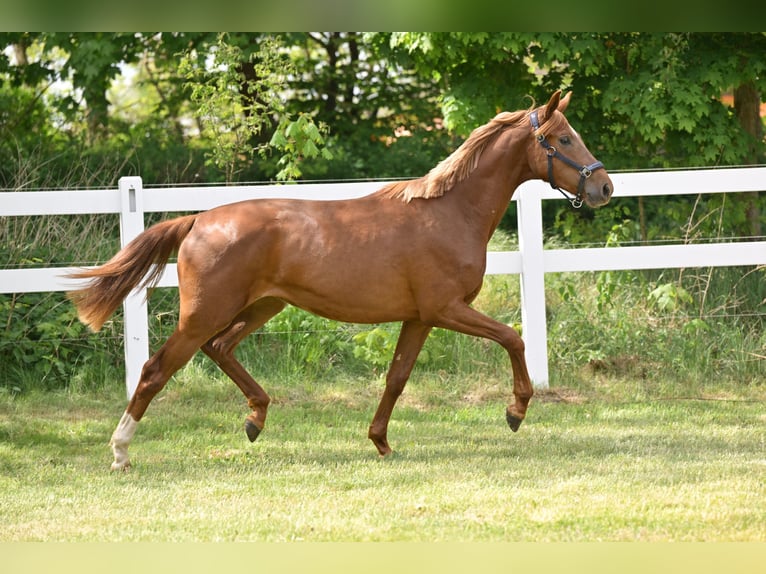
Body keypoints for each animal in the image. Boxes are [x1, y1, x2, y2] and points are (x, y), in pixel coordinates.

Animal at [68, 90, 613, 470]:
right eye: (564, 138)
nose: (605, 187)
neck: (449, 213)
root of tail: (199, 221)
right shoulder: (447, 309)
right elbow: (514, 338)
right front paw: (516, 411)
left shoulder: (420, 318)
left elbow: (396, 378)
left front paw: (381, 442)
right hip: (205, 314)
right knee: (155, 370)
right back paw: (121, 453)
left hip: (261, 306)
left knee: (219, 349)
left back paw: (255, 418)